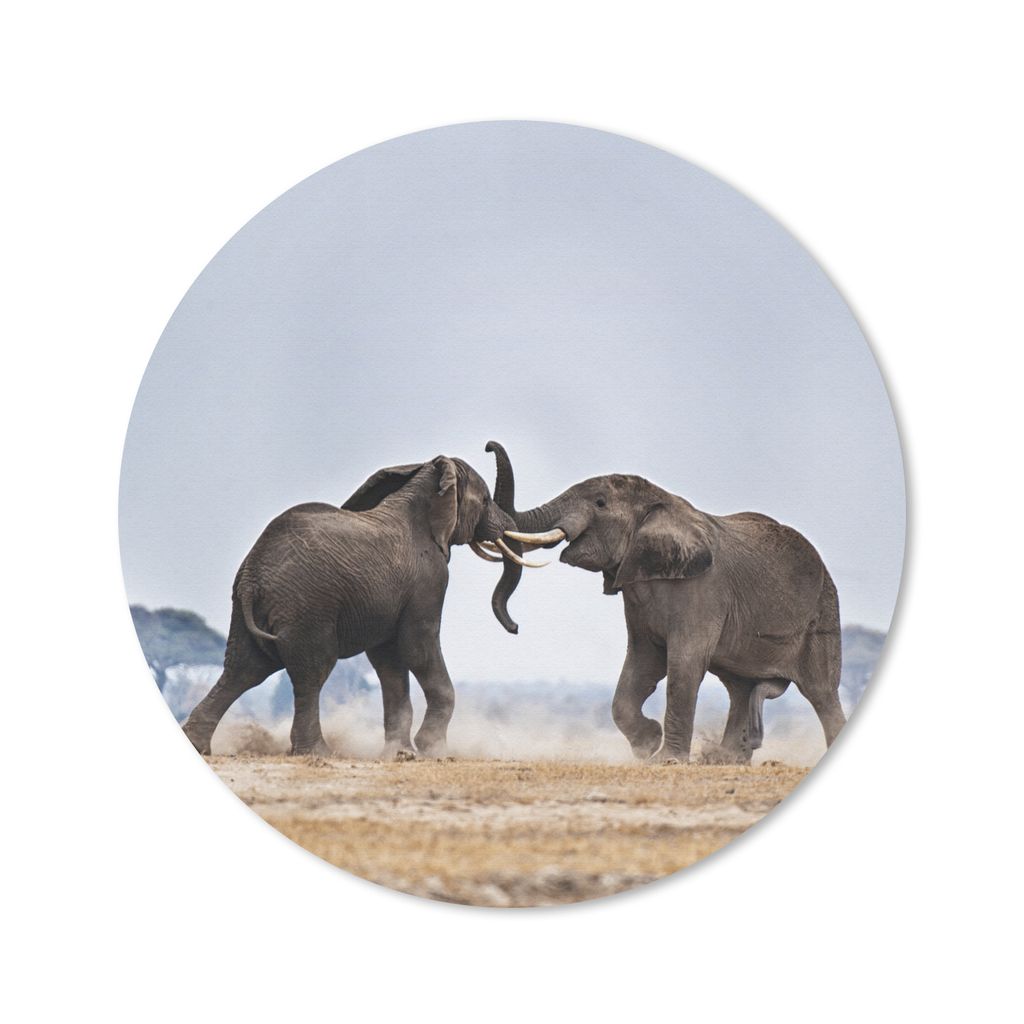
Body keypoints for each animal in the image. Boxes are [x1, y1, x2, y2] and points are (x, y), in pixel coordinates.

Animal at [181, 454, 534, 759]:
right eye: (485, 500)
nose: (516, 628)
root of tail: (252, 576)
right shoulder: (430, 577)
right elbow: (418, 647)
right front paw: (432, 751)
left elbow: (388, 659)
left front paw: (399, 754)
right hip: (308, 606)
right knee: (310, 673)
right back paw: (317, 753)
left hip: (251, 611)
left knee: (242, 669)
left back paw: (197, 746)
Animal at [486, 442, 846, 764]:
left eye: (600, 503)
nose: (489, 447)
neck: (662, 504)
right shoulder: (638, 591)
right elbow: (641, 663)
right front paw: (647, 745)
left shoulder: (703, 590)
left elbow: (683, 664)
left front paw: (666, 760)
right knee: (740, 688)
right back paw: (724, 760)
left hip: (822, 614)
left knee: (822, 693)